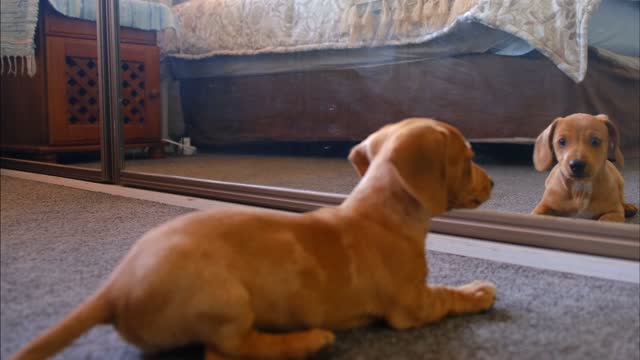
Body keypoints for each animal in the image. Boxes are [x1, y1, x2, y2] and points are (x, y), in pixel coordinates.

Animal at [12, 118, 498, 360]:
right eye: (469, 157)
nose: (493, 183)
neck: (381, 211)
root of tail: (115, 287)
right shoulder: (411, 306)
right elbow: (448, 296)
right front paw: (477, 291)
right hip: (227, 301)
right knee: (225, 352)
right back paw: (305, 341)